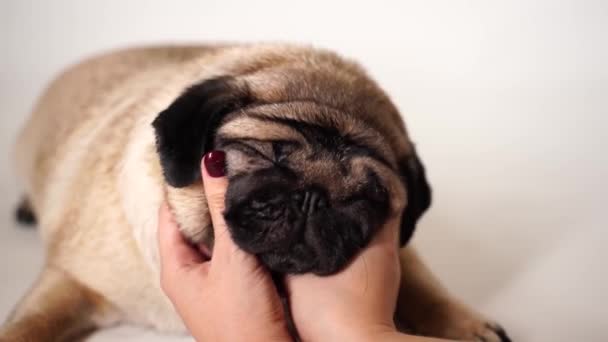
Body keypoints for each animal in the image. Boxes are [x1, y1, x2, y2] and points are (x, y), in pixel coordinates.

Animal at [2, 44, 510, 340]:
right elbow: (28, 325)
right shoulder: (70, 279)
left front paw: (466, 325)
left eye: (366, 198)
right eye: (270, 155)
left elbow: (422, 284)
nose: (313, 198)